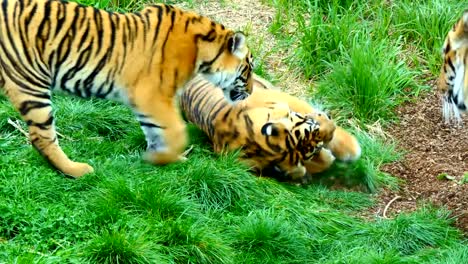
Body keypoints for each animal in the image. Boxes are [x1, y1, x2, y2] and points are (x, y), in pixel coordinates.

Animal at [0, 0, 252, 177]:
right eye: (249, 68)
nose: (250, 93)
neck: (203, 51)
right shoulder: (152, 95)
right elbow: (175, 131)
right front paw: (161, 159)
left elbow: (154, 133)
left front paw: (163, 158)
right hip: (30, 82)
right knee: (41, 137)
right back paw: (77, 170)